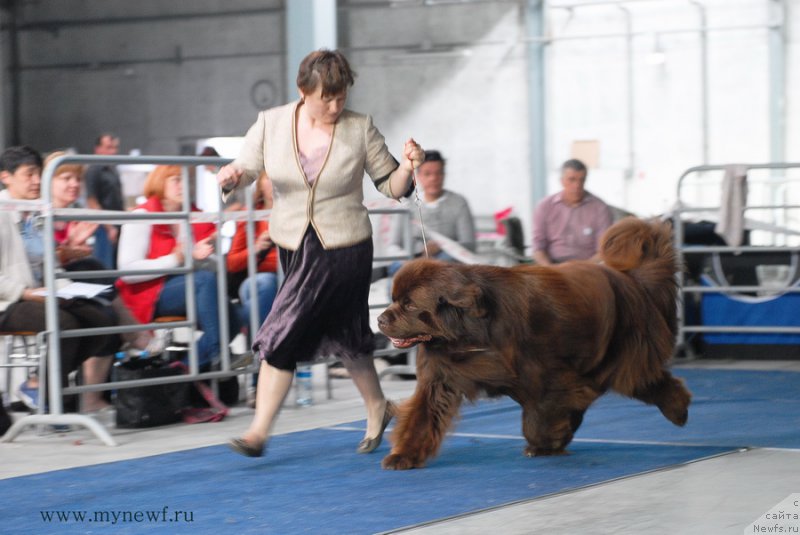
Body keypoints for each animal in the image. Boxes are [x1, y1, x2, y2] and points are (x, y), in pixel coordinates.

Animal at [378, 217, 692, 468]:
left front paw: (543, 444)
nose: (380, 319)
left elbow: (540, 414)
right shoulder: (441, 377)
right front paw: (403, 456)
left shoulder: (545, 376)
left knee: (648, 380)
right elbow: (422, 415)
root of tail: (631, 281)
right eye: (393, 299)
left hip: (623, 356)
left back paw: (679, 410)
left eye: (409, 305)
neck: (467, 332)